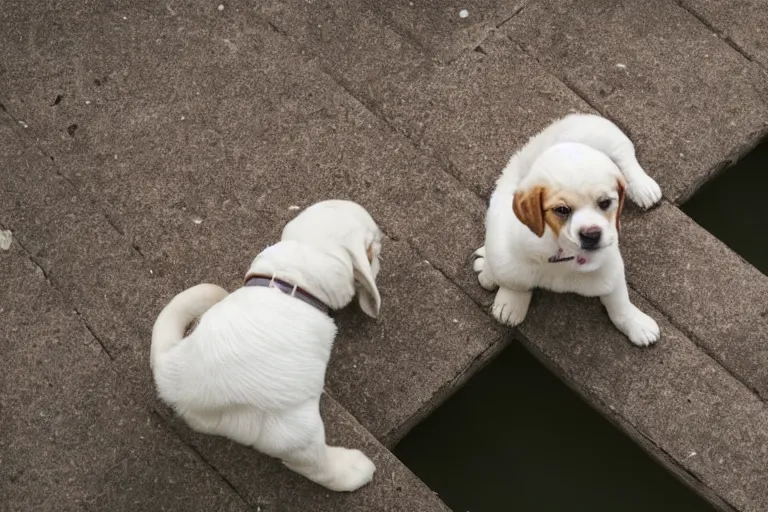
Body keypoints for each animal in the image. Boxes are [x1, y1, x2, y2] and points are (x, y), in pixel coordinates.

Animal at [474, 114, 660, 346]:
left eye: (605, 203)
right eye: (562, 210)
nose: (591, 235)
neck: (562, 251)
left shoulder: (609, 267)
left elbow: (620, 302)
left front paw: (636, 324)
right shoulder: (508, 252)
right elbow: (516, 280)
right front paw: (511, 303)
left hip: (606, 136)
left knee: (625, 158)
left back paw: (644, 187)